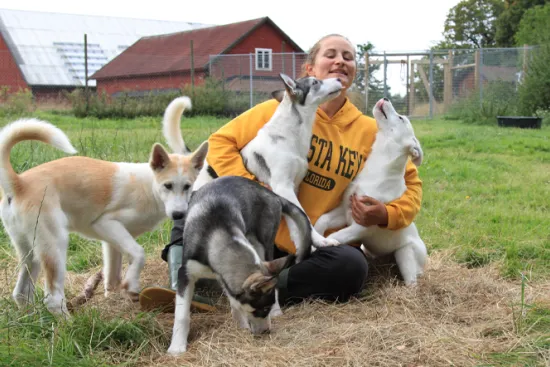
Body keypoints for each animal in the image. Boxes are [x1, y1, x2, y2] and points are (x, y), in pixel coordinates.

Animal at [0, 97, 208, 316]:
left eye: (187, 186)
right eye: (168, 186)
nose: (178, 214)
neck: (149, 187)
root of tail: (19, 183)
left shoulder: (112, 242)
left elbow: (113, 278)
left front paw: (116, 297)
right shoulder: (106, 223)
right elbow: (139, 253)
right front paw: (132, 286)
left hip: (31, 253)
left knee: (21, 293)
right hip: (54, 246)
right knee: (53, 299)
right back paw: (68, 322)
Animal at [167, 176, 314, 356]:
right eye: (262, 309)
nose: (266, 331)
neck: (216, 233)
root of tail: (272, 194)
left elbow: (235, 301)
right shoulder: (186, 273)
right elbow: (182, 314)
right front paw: (177, 347)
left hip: (264, 244)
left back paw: (277, 310)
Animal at [314, 98, 426, 288]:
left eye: (401, 118)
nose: (386, 98)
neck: (378, 167)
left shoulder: (361, 225)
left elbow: (336, 235)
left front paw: (324, 244)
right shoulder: (346, 209)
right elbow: (322, 220)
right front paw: (316, 240)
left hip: (405, 256)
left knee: (412, 283)